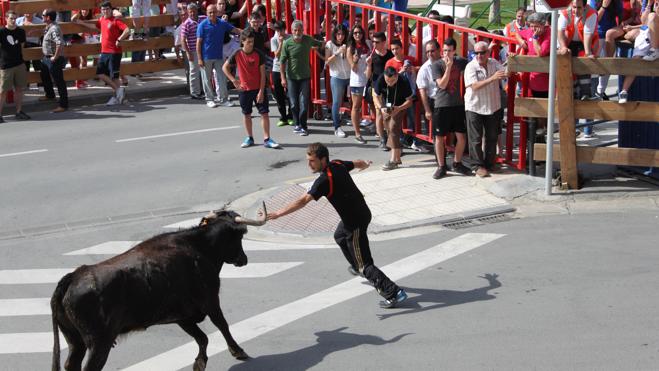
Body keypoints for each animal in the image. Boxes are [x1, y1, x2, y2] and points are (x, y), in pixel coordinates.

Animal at [51, 209, 266, 371]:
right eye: (238, 237)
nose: (244, 259)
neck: (199, 247)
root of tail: (73, 277)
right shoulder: (211, 302)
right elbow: (222, 326)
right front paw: (238, 351)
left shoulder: (182, 316)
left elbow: (202, 338)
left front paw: (199, 363)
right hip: (98, 343)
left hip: (75, 342)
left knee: (71, 364)